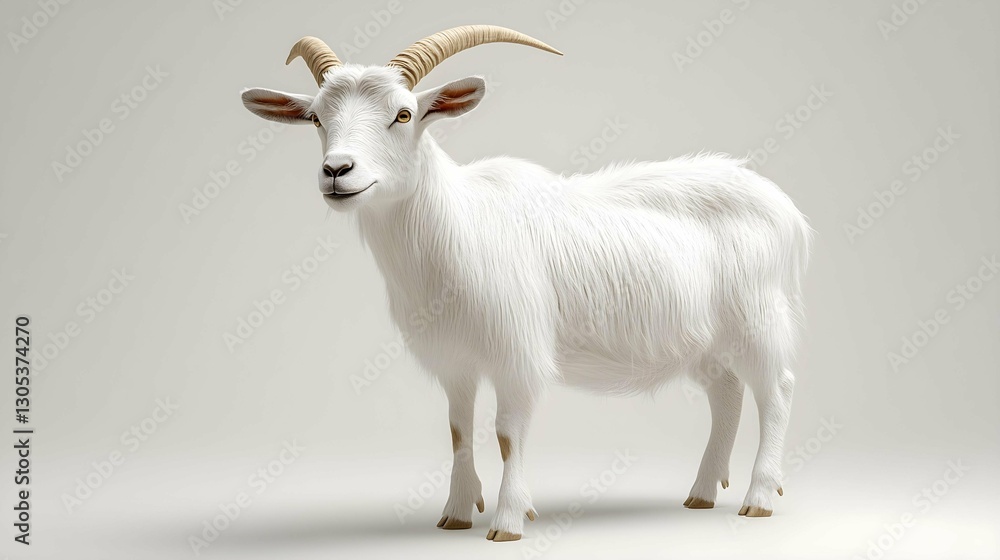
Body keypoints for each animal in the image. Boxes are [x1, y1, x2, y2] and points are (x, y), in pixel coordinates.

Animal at [241, 25, 811, 542]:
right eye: (317, 117)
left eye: (403, 114)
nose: (337, 170)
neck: (455, 228)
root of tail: (783, 206)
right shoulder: (454, 359)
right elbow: (458, 431)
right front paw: (456, 513)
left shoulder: (517, 350)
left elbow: (507, 434)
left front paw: (509, 521)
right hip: (706, 340)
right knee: (727, 393)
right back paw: (702, 492)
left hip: (758, 316)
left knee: (777, 390)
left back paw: (759, 497)